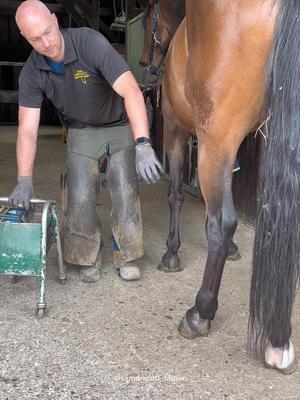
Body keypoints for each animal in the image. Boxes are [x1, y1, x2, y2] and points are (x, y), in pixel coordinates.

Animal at [139, 0, 298, 376]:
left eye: (150, 21)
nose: (145, 70)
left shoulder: (178, 131)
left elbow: (177, 193)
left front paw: (171, 253)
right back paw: (279, 340)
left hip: (215, 138)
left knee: (221, 222)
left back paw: (200, 313)